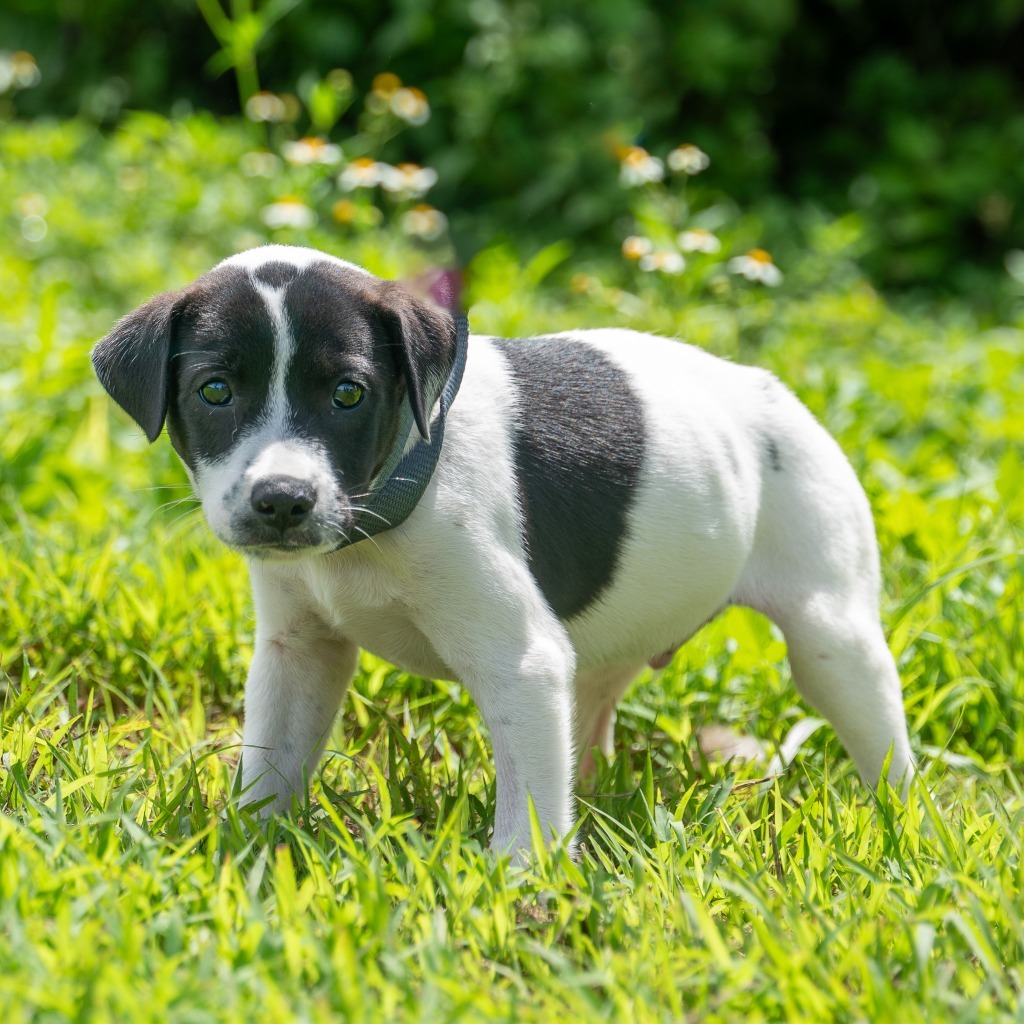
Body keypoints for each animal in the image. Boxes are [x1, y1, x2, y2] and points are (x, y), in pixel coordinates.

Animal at [94, 241, 913, 856]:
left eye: (349, 394)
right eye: (215, 391)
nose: (283, 500)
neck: (379, 515)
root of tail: (777, 394)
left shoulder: (521, 662)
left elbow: (530, 806)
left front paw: (521, 885)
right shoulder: (299, 650)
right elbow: (272, 763)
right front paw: (248, 846)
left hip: (832, 637)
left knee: (880, 737)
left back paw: (903, 824)